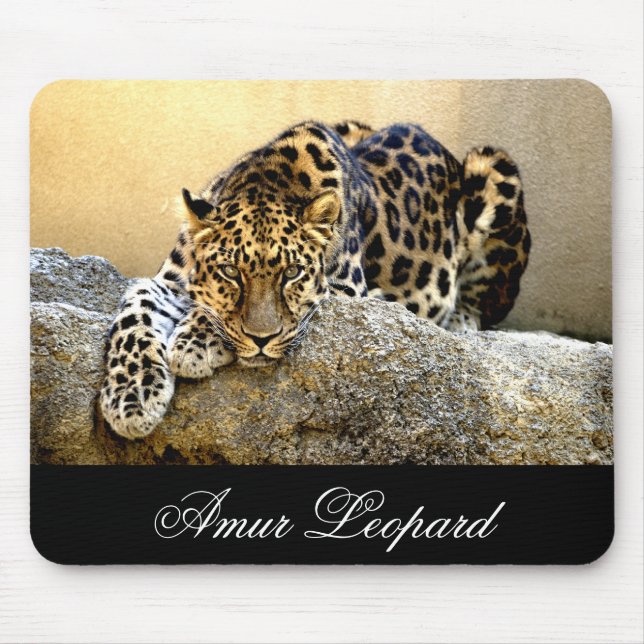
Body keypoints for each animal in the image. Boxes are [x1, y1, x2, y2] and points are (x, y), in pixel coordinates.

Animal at [99, 119, 531, 440]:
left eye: (291, 273)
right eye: (230, 272)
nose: (261, 340)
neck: (268, 179)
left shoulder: (348, 291)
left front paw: (193, 343)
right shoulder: (171, 282)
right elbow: (135, 305)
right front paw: (131, 398)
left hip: (495, 166)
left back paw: (458, 321)